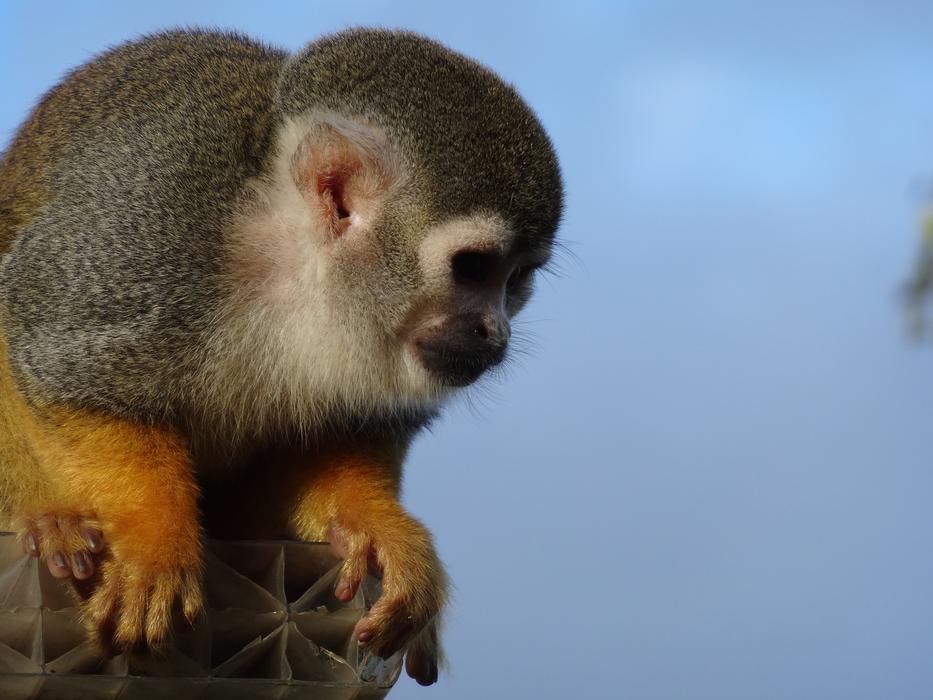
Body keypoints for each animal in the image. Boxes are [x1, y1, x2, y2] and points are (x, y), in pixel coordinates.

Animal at [0, 28, 563, 686]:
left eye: (516, 280)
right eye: (472, 268)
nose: (493, 332)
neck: (294, 257)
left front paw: (372, 524)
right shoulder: (152, 225)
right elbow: (50, 349)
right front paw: (151, 536)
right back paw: (51, 520)